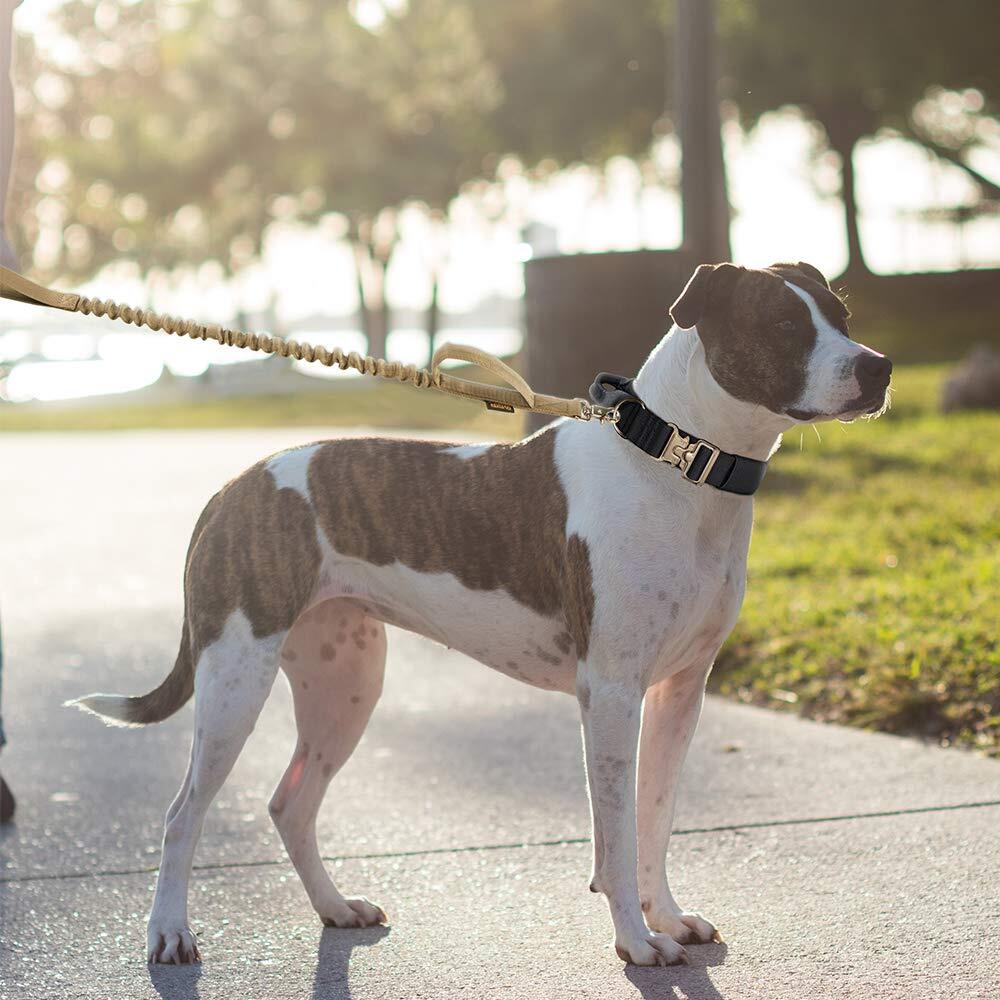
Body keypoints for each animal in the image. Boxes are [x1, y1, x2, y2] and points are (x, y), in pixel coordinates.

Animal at [74, 261, 892, 967]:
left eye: (843, 315)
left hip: (345, 682)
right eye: (784, 324)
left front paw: (667, 917)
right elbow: (617, 832)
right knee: (183, 814)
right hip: (236, 678)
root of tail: (233, 486)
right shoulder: (612, 694)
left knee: (291, 803)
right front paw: (635, 941)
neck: (677, 465)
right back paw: (170, 933)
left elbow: (655, 818)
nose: (879, 366)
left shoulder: (680, 692)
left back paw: (336, 908)